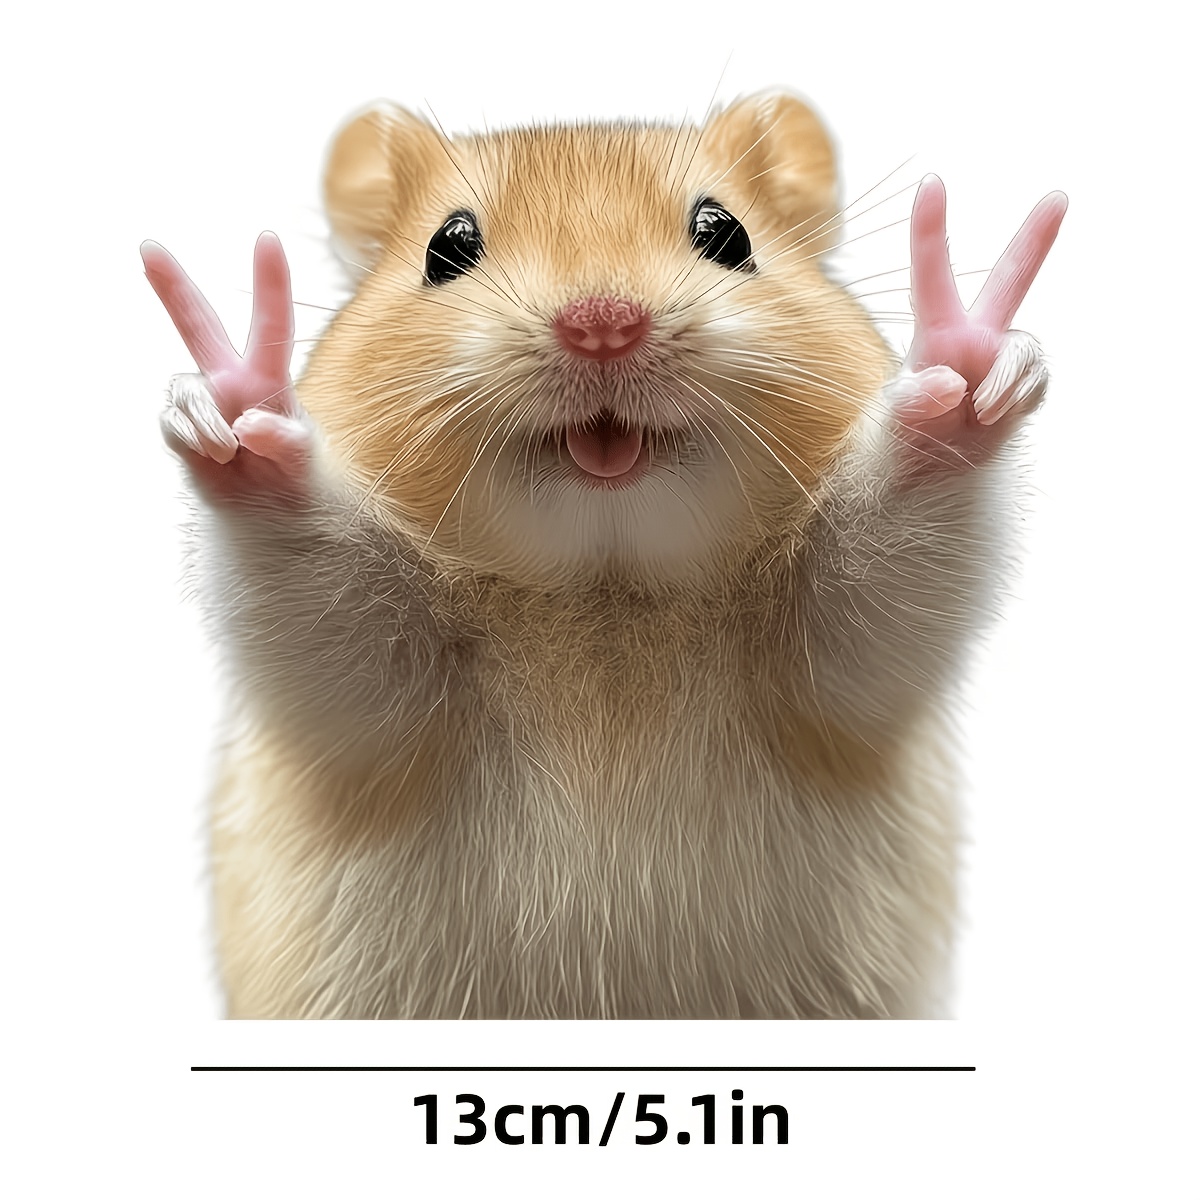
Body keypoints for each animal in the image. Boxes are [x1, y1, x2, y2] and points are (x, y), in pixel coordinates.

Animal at [144, 92, 1065, 1018]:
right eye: (448, 248)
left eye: (726, 233)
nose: (603, 327)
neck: (605, 590)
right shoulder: (364, 689)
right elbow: (311, 578)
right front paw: (234, 410)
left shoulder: (838, 661)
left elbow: (892, 552)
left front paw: (965, 366)